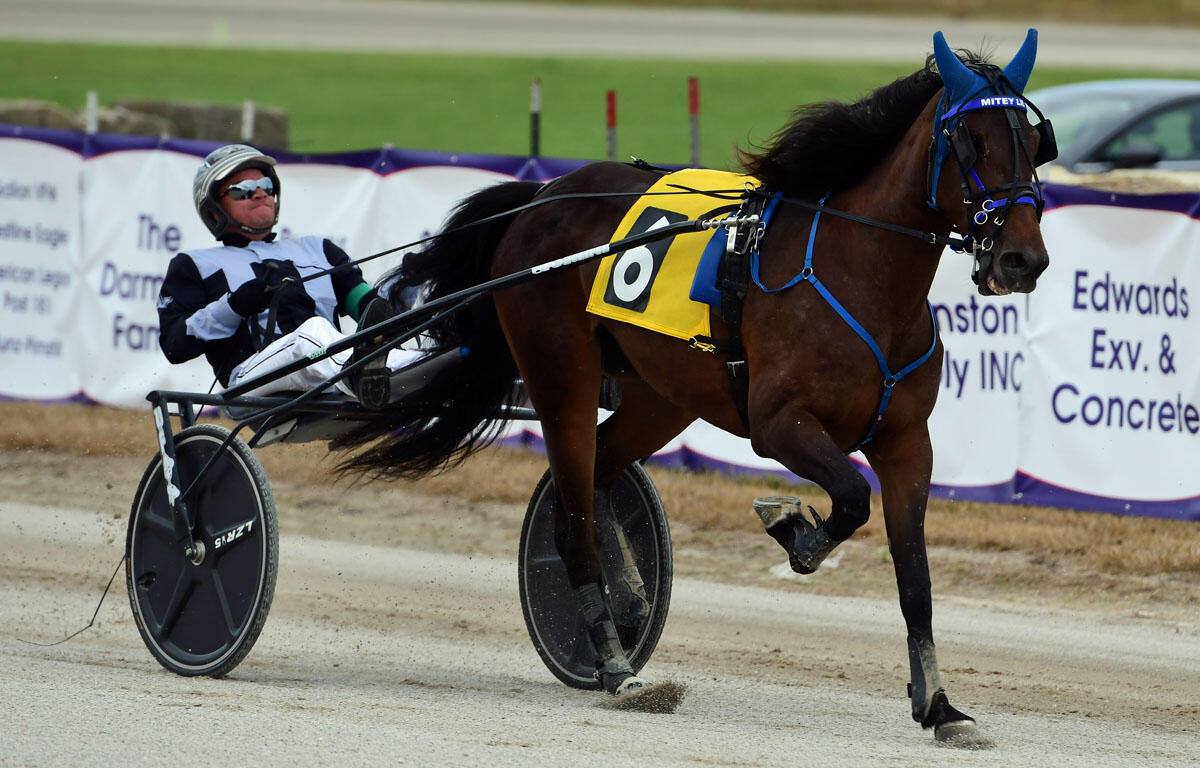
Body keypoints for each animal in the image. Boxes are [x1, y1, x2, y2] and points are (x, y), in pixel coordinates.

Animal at [335, 30, 1053, 740]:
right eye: (973, 141)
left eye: (1032, 139)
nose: (1024, 258)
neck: (859, 275)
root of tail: (540, 199)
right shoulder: (778, 425)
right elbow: (849, 497)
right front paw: (794, 530)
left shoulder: (907, 443)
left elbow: (915, 580)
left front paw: (939, 705)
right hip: (562, 373)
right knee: (572, 517)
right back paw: (615, 664)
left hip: (662, 396)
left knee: (598, 475)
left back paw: (630, 596)